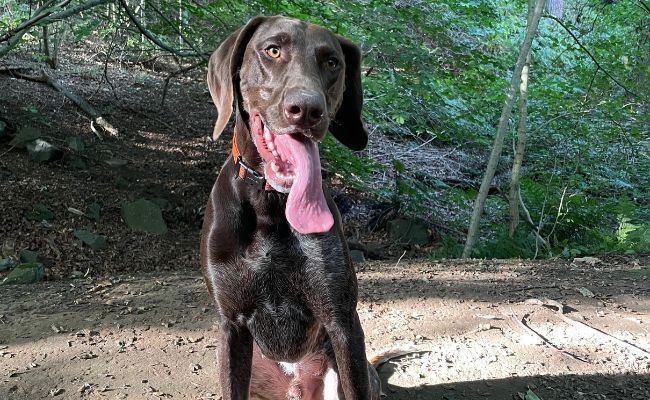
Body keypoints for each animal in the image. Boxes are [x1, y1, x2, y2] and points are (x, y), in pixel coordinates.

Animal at [200, 15, 378, 400]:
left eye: (332, 63)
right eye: (272, 50)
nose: (307, 110)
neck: (271, 204)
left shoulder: (342, 323)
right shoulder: (231, 326)